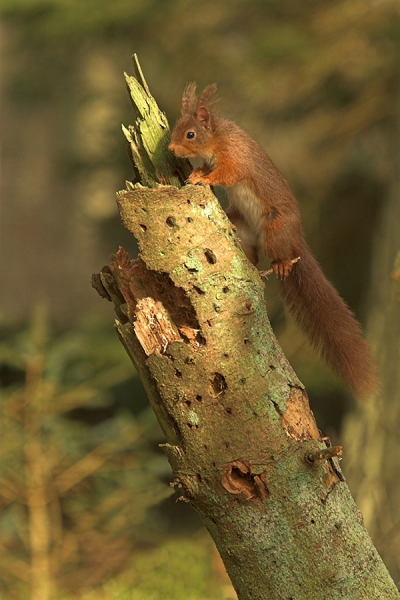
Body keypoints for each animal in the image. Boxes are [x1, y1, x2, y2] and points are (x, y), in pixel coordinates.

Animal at [169, 83, 378, 398]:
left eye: (190, 134)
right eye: (177, 128)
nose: (170, 148)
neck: (217, 138)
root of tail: (298, 240)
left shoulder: (235, 158)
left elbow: (226, 174)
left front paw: (204, 179)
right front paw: (197, 172)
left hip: (275, 230)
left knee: (280, 256)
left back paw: (281, 264)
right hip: (243, 226)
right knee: (253, 256)